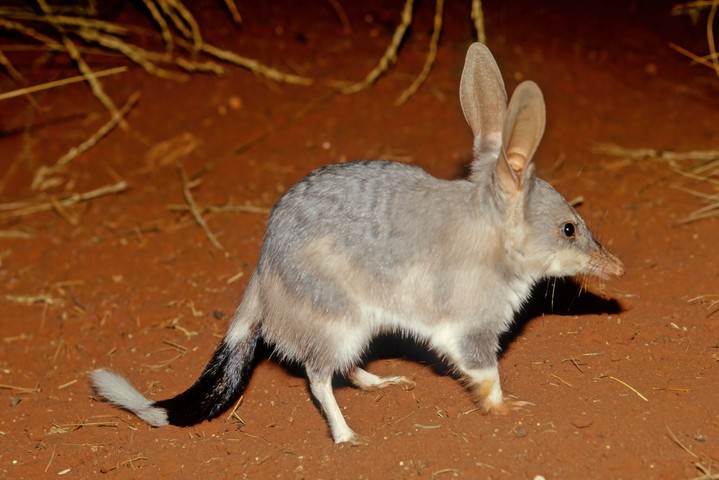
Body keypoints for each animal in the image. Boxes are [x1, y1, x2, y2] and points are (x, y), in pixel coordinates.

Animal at [90, 43, 624, 445]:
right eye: (569, 229)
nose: (617, 268)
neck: (490, 229)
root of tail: (262, 272)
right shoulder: (470, 329)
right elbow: (487, 375)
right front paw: (507, 408)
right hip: (341, 319)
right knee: (317, 375)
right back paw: (345, 435)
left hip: (359, 325)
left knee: (341, 368)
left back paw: (380, 381)